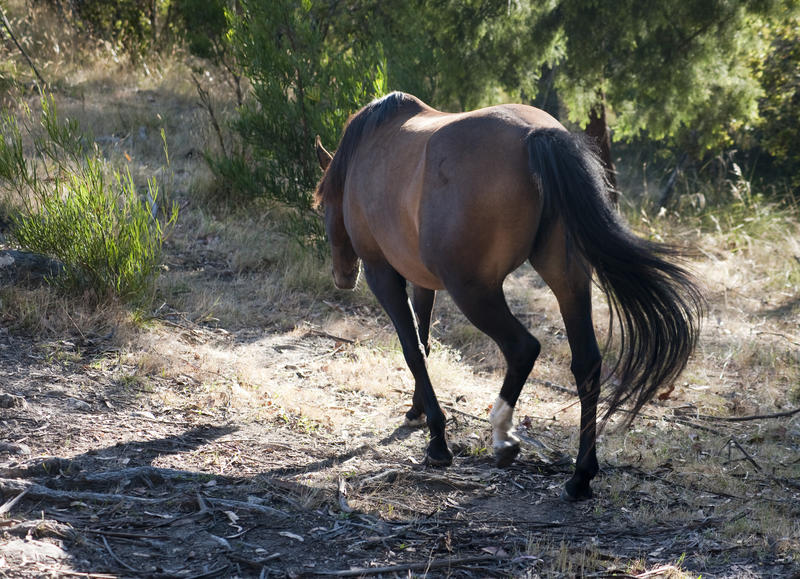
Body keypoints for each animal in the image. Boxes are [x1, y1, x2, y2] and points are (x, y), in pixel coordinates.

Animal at [316, 93, 704, 500]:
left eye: (322, 204)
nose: (343, 276)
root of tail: (537, 135)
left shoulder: (383, 275)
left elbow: (412, 350)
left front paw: (437, 441)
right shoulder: (423, 282)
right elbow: (425, 342)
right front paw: (417, 410)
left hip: (475, 292)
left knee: (522, 347)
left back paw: (503, 435)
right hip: (568, 280)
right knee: (587, 363)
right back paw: (580, 477)